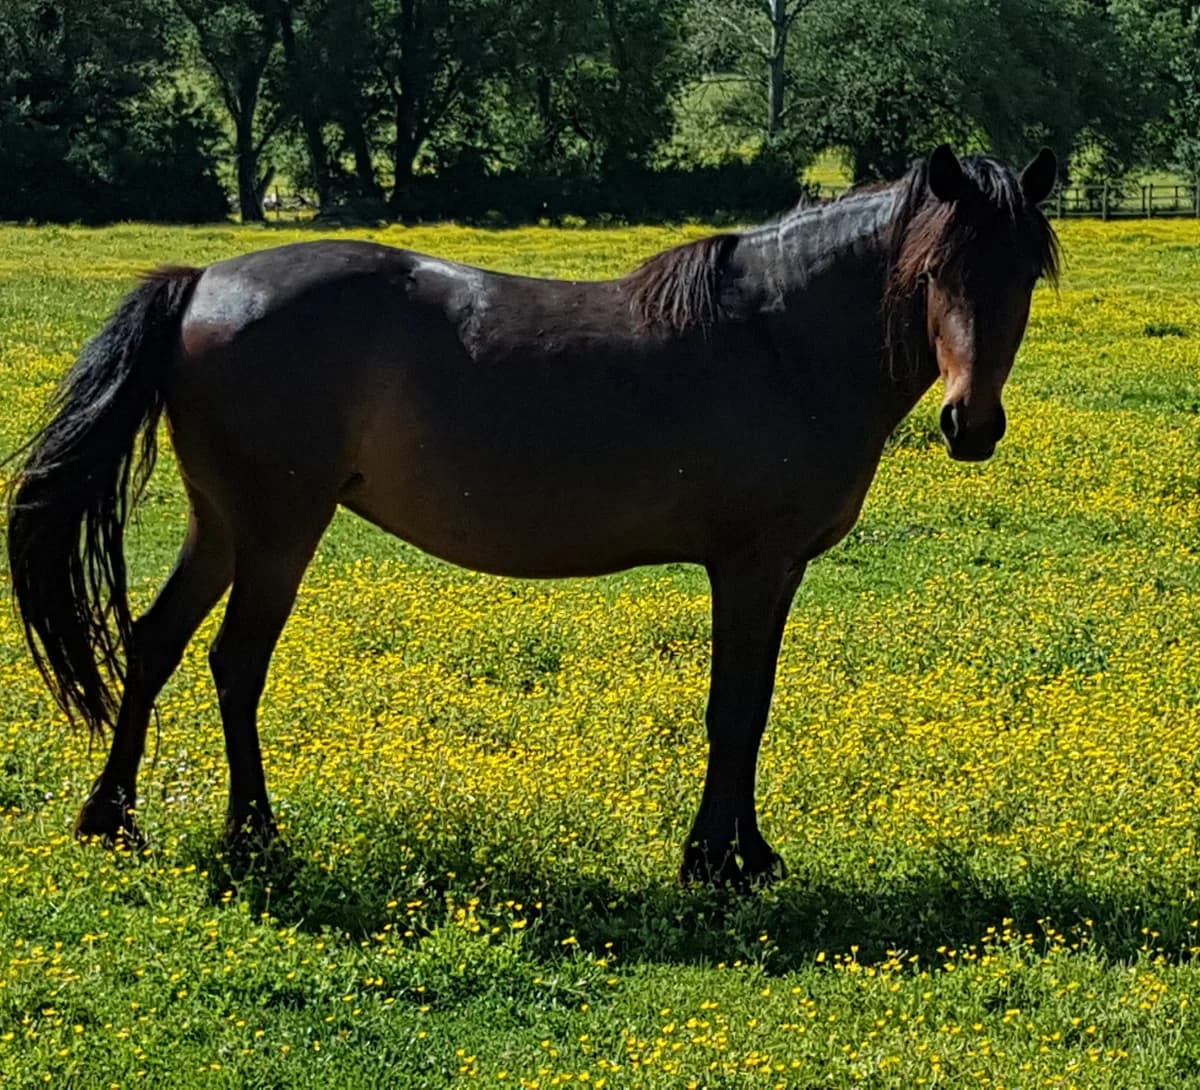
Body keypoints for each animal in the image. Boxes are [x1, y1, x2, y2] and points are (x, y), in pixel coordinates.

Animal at [6, 145, 1059, 888]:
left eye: (1023, 278)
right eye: (935, 272)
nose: (970, 424)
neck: (781, 341)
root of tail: (202, 284)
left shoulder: (779, 569)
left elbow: (752, 706)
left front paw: (749, 854)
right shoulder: (751, 566)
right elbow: (734, 707)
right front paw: (713, 863)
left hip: (221, 524)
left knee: (153, 643)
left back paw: (112, 819)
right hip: (278, 528)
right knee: (235, 662)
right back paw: (254, 834)